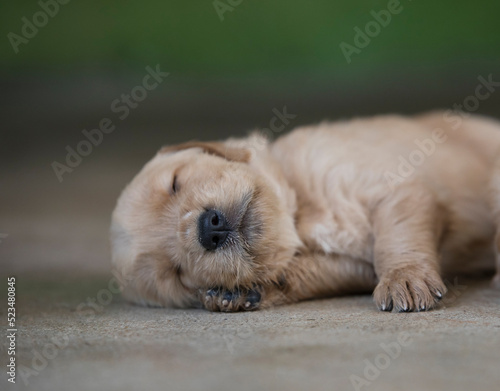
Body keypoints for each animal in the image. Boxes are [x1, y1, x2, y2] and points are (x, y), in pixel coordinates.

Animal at [111, 112, 500, 314]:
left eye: (175, 183)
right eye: (175, 273)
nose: (210, 230)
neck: (300, 214)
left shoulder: (397, 188)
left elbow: (398, 237)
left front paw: (404, 278)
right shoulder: (351, 265)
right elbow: (310, 272)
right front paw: (240, 292)